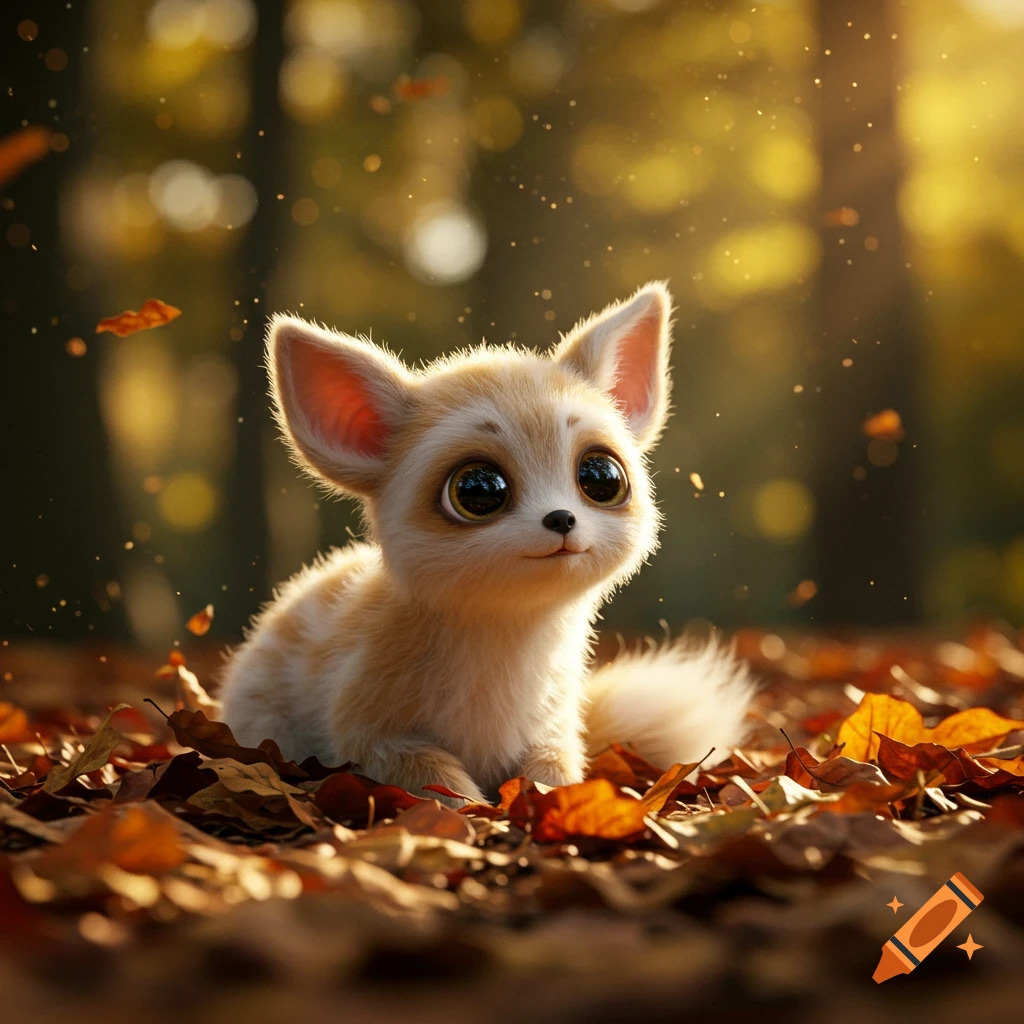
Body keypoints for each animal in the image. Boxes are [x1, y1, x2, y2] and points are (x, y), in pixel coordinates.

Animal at [219, 283, 755, 804]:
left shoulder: (552, 727)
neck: (507, 636)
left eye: (600, 477)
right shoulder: (367, 727)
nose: (561, 518)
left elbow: (553, 769)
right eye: (478, 490)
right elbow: (434, 776)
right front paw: (476, 812)